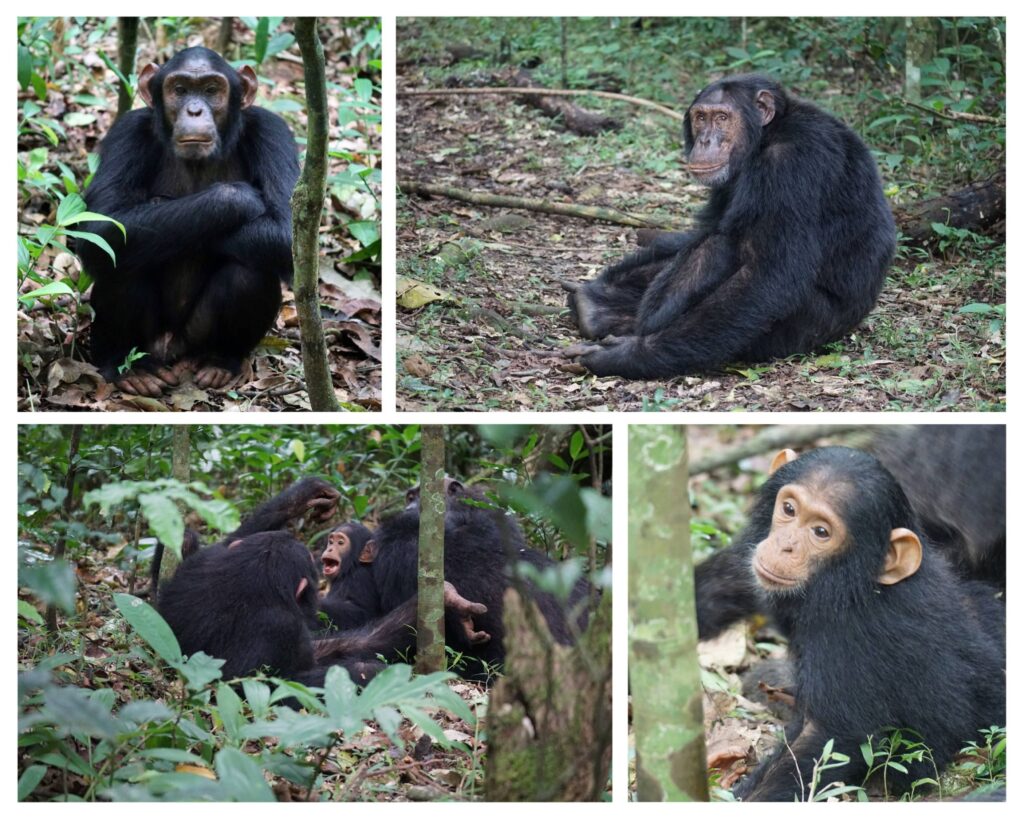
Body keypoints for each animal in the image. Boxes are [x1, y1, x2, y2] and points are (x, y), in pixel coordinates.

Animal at [79, 46, 296, 399]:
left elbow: (287, 232)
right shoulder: (128, 132)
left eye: (211, 90)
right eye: (179, 90)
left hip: (195, 337)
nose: (194, 110)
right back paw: (128, 367)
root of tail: (172, 349)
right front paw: (235, 197)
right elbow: (100, 226)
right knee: (122, 259)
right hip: (150, 341)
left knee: (250, 270)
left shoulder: (273, 132)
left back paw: (220, 361)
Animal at [561, 73, 897, 376]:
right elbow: (703, 229)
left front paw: (627, 355)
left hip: (804, 327)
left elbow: (764, 274)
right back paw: (597, 308)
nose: (706, 139)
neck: (765, 137)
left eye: (722, 117)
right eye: (701, 117)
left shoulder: (794, 163)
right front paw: (602, 295)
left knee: (721, 247)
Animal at [696, 448, 999, 798]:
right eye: (789, 509)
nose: (785, 545)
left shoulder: (849, 633)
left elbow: (830, 737)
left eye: (821, 532)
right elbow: (725, 581)